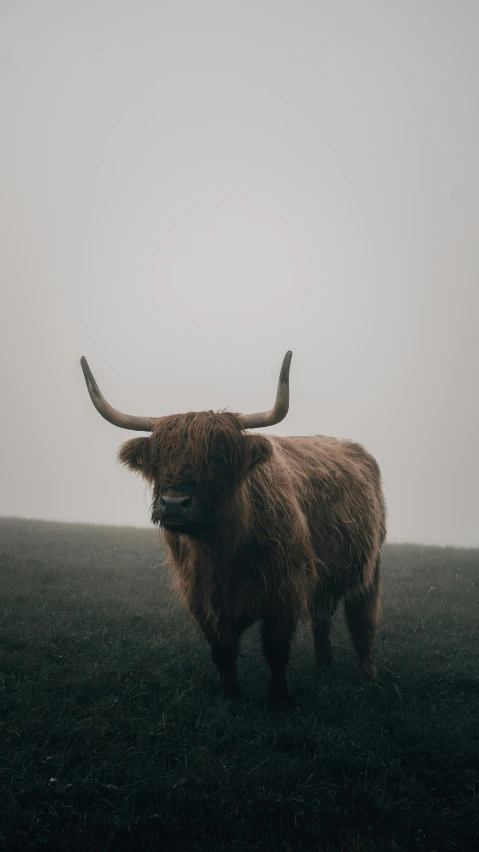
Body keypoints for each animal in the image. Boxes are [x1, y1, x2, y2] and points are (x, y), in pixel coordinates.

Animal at [81, 352, 386, 704]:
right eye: (158, 459)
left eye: (218, 457)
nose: (173, 503)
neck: (223, 549)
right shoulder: (203, 597)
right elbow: (223, 652)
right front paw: (231, 698)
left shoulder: (285, 589)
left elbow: (275, 650)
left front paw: (279, 700)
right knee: (321, 618)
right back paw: (323, 667)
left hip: (370, 566)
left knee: (362, 622)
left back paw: (368, 676)